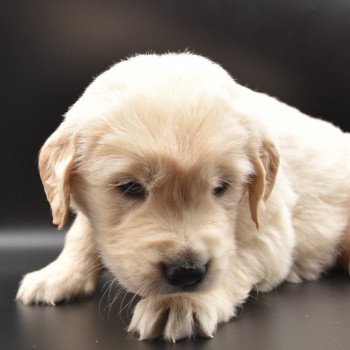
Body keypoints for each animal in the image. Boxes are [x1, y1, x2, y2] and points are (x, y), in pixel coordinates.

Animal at [16, 52, 350, 342]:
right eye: (131, 187)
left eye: (221, 187)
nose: (187, 273)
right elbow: (82, 234)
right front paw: (56, 275)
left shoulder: (269, 230)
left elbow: (235, 260)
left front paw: (180, 303)